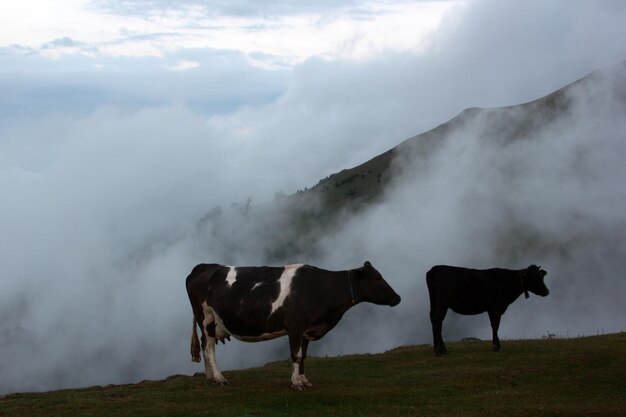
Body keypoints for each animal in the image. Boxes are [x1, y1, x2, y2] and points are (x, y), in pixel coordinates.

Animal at [185, 260, 400, 390]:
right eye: (378, 278)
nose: (398, 298)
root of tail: (204, 266)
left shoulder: (307, 329)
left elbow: (303, 356)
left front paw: (304, 379)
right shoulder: (296, 326)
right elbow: (295, 355)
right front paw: (297, 383)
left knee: (204, 345)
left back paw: (209, 376)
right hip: (206, 317)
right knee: (209, 348)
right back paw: (219, 378)